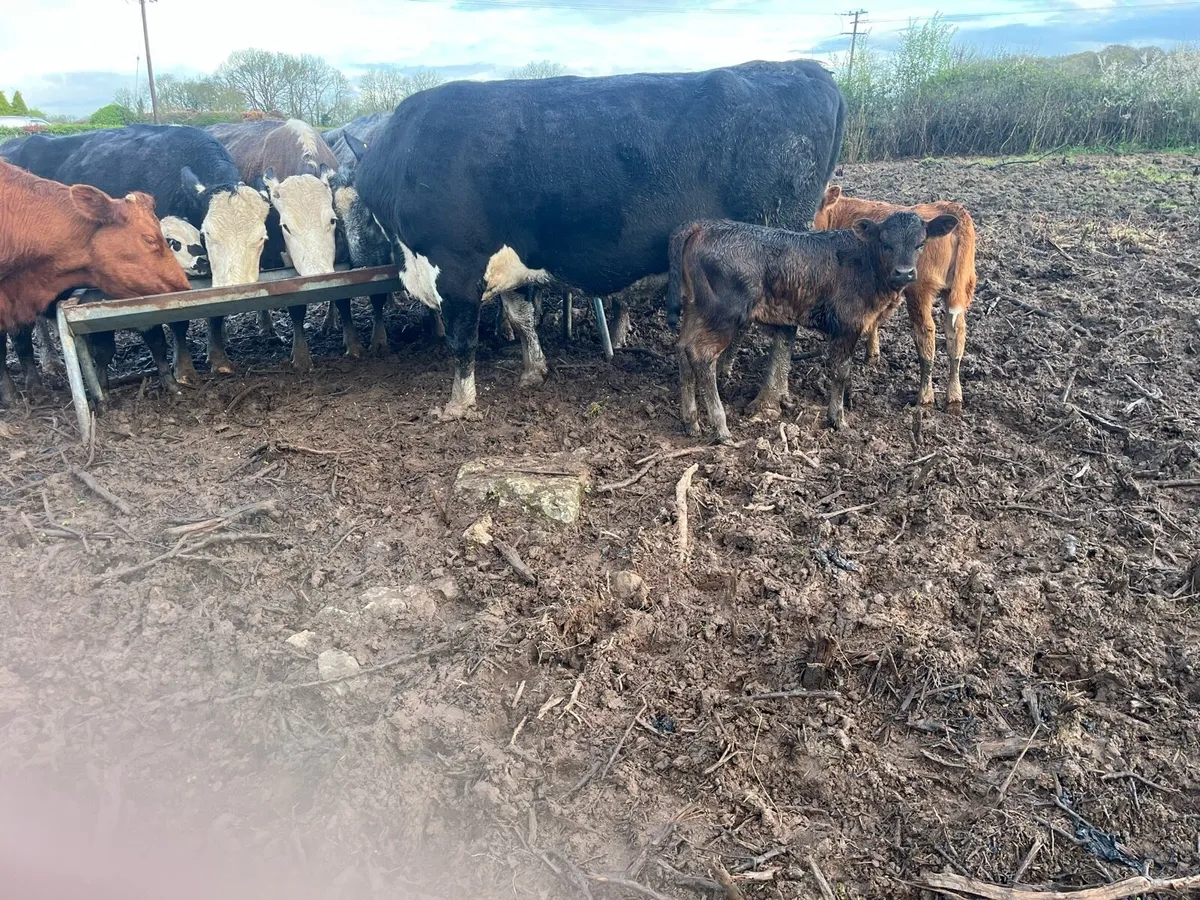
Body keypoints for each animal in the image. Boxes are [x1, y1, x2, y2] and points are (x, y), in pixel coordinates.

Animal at [54, 124, 270, 385]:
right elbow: (178, 321)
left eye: (262, 237)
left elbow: (216, 314)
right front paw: (184, 368)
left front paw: (219, 359)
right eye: (206, 234)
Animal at [354, 59, 846, 419]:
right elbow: (522, 318)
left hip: (781, 242)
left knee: (784, 327)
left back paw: (768, 397)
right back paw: (727, 371)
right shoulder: (508, 265)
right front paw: (533, 371)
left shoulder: (455, 266)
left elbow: (462, 341)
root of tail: (805, 69)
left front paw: (457, 404)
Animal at [669, 211, 960, 441]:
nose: (905, 272)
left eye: (920, 243)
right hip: (723, 314)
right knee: (702, 356)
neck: (868, 264)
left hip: (695, 308)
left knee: (683, 349)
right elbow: (841, 371)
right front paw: (837, 418)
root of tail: (703, 226)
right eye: (885, 243)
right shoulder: (848, 324)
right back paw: (721, 428)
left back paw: (691, 421)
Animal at [814, 185, 977, 411]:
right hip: (961, 290)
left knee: (926, 333)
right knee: (957, 335)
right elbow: (875, 319)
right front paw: (873, 354)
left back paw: (925, 396)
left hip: (920, 292)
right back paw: (954, 395)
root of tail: (953, 210)